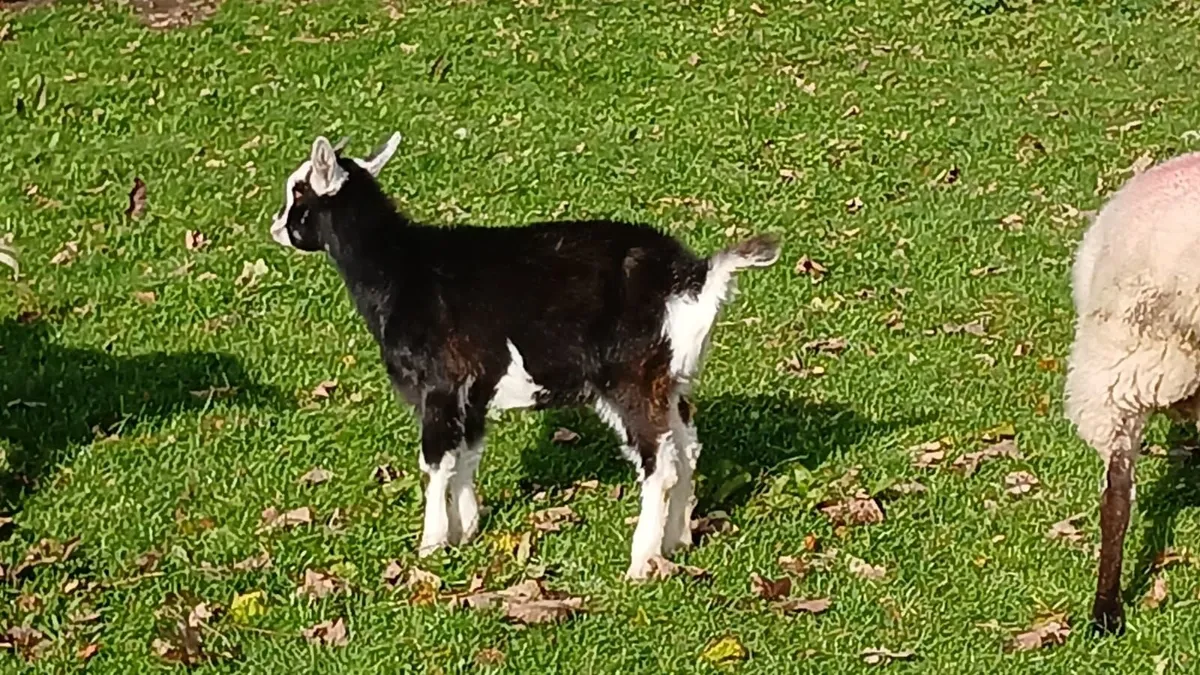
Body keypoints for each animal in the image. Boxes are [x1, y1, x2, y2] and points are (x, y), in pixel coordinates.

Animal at [268, 133, 781, 577]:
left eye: (298, 194)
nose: (275, 227)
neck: (401, 270)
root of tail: (692, 278)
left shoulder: (438, 386)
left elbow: (435, 462)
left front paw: (431, 545)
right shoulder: (473, 392)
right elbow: (466, 456)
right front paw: (467, 530)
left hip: (631, 378)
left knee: (662, 465)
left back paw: (640, 563)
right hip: (671, 379)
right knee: (688, 448)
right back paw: (677, 542)